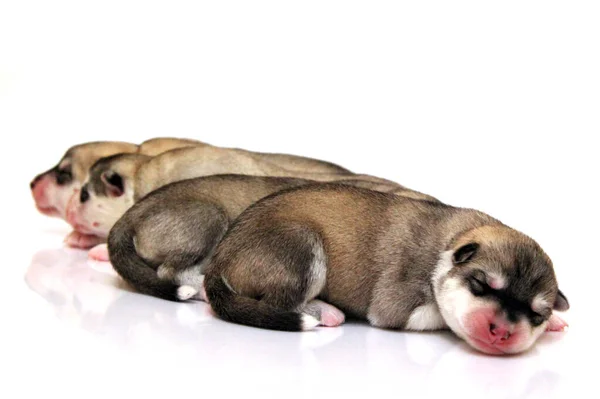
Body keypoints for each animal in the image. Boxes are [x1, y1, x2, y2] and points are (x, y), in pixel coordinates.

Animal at [204, 184, 568, 356]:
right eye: (481, 285)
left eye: (536, 314)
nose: (502, 332)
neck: (453, 238)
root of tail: (218, 260)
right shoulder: (395, 305)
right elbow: (442, 317)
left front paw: (555, 322)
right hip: (301, 246)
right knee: (279, 302)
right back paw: (325, 311)